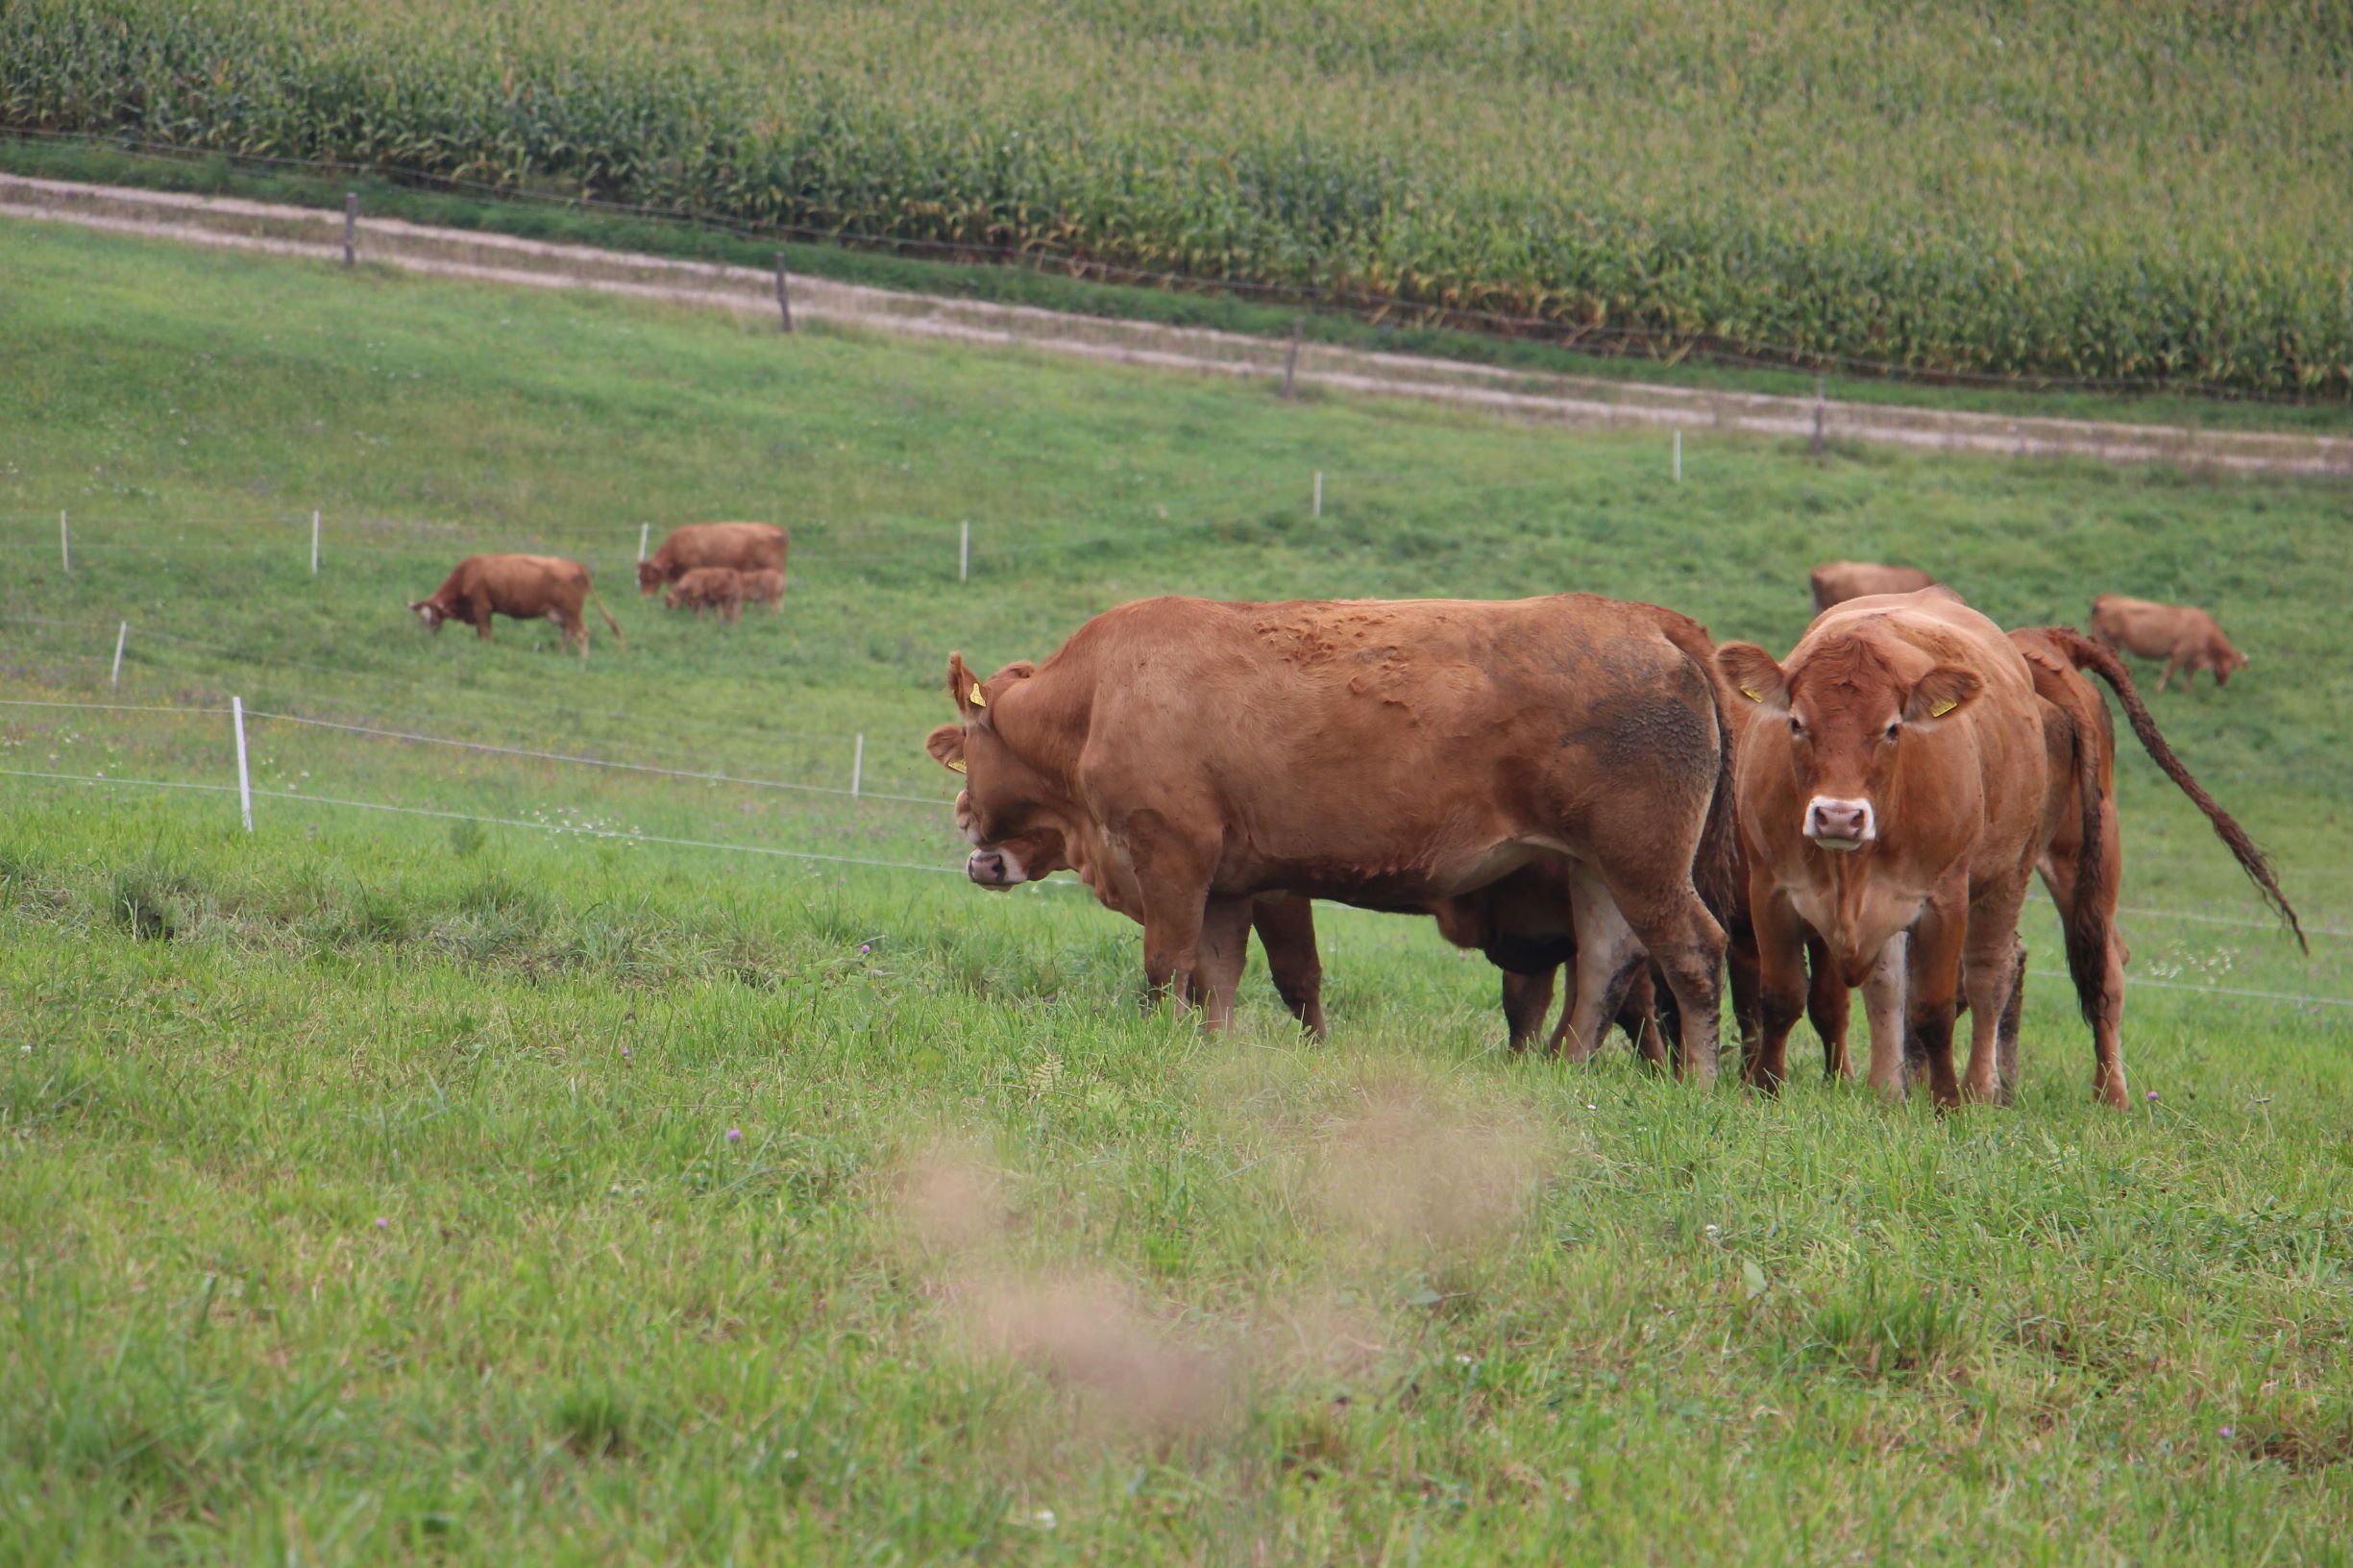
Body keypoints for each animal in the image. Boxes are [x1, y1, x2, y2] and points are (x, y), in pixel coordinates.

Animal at [411, 552, 625, 654]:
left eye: (429, 619)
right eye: (420, 619)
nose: (424, 638)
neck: (467, 573)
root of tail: (577, 565)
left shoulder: (481, 606)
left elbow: (485, 632)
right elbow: (483, 631)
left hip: (572, 611)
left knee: (581, 633)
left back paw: (583, 660)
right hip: (563, 614)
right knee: (568, 633)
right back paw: (563, 654)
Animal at [2089, 593, 2249, 692]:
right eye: (2231, 666)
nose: (2223, 684)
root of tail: (2105, 597)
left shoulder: (2190, 657)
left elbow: (2188, 674)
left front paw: (2187, 691)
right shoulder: (2180, 653)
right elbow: (2169, 673)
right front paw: (2158, 690)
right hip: (2104, 640)